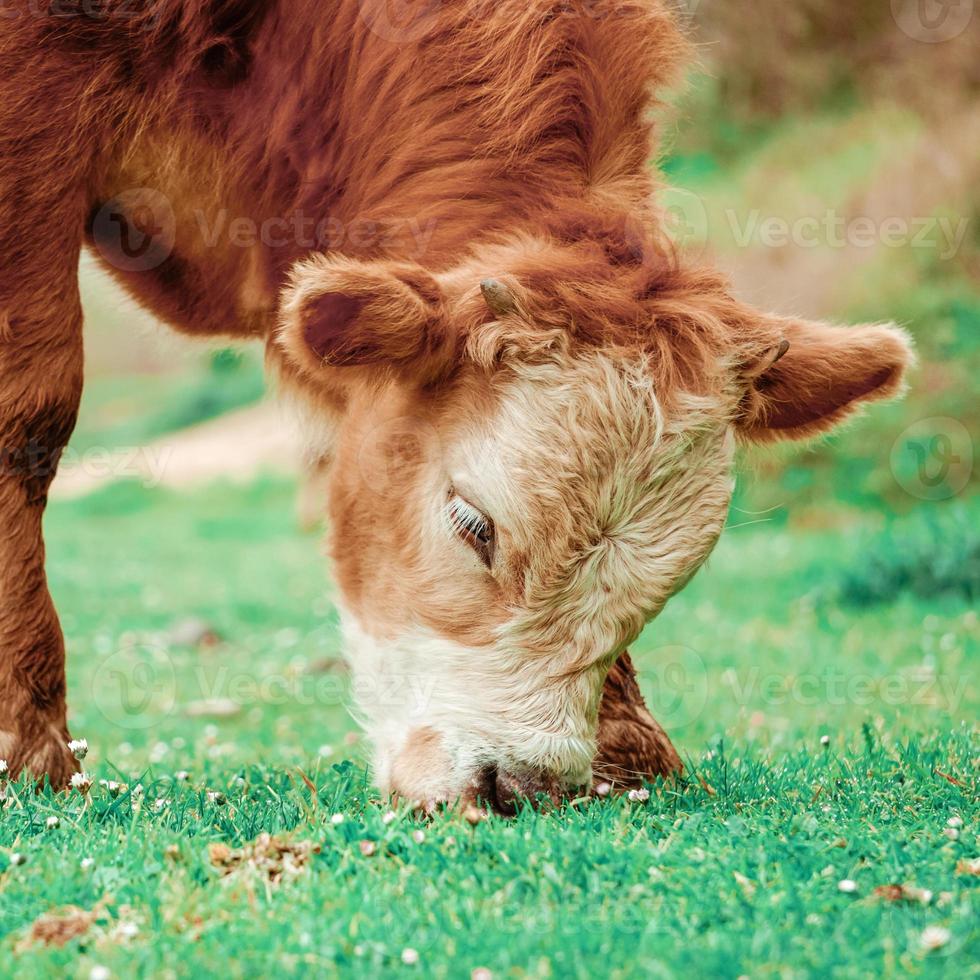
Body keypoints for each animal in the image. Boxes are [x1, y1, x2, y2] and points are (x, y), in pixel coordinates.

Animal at [0, 3, 912, 808]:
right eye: (473, 524)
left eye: (676, 576)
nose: (521, 786)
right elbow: (30, 409)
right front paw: (29, 752)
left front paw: (625, 749)